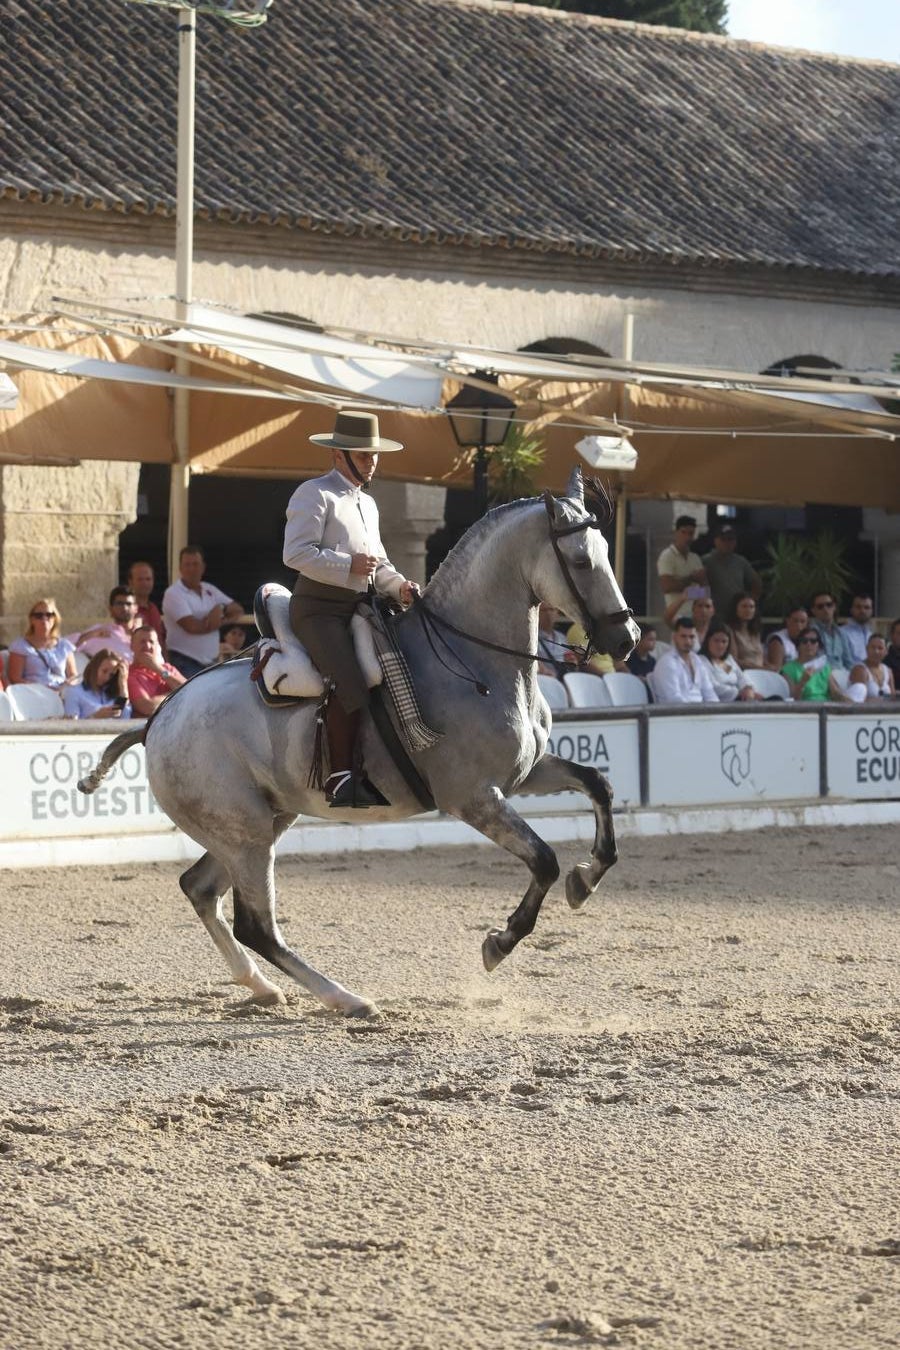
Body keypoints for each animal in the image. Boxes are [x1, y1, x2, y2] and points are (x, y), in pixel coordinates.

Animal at [79, 469, 639, 1015]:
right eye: (581, 560)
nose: (627, 639)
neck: (470, 661)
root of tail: (160, 719)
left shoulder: (523, 774)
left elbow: (599, 785)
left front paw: (586, 879)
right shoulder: (473, 797)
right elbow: (543, 859)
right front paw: (500, 942)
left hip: (259, 824)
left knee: (200, 890)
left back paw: (261, 987)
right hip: (245, 833)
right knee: (255, 925)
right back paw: (346, 999)